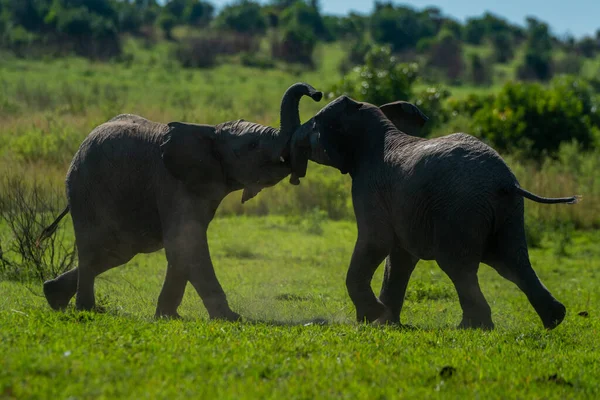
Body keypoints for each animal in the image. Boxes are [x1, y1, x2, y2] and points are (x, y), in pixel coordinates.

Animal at [37, 83, 324, 320]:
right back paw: (84, 309)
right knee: (96, 247)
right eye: (252, 146)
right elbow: (186, 242)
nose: (317, 93)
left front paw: (168, 317)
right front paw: (231, 318)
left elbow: (183, 245)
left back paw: (53, 297)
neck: (211, 132)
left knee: (117, 251)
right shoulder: (172, 183)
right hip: (85, 189)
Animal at [288, 95, 580, 330]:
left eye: (314, 123)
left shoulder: (368, 186)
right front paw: (384, 323)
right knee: (512, 262)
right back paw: (554, 319)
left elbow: (377, 242)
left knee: (458, 266)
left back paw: (471, 327)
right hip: (508, 213)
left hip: (461, 210)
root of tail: (506, 182)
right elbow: (399, 257)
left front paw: (373, 318)